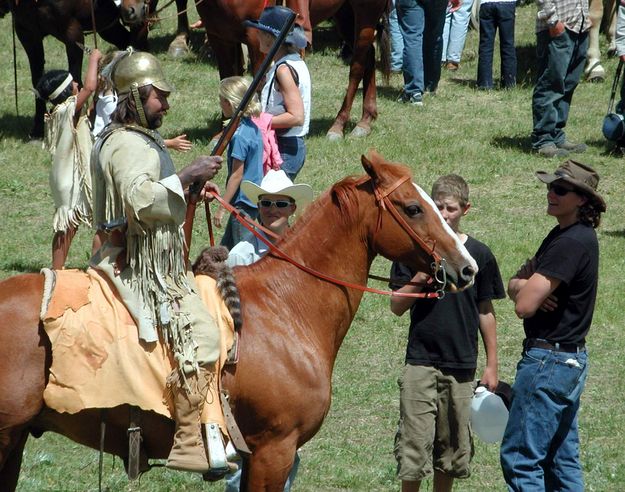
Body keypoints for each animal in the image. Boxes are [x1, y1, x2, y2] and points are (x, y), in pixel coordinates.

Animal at [118, 0, 390, 140]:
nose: (128, 10)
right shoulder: (220, 36)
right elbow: (228, 77)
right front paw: (224, 129)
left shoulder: (255, 38)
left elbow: (259, 81)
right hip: (345, 13)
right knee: (368, 57)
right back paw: (365, 120)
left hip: (366, 10)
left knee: (357, 65)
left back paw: (339, 126)